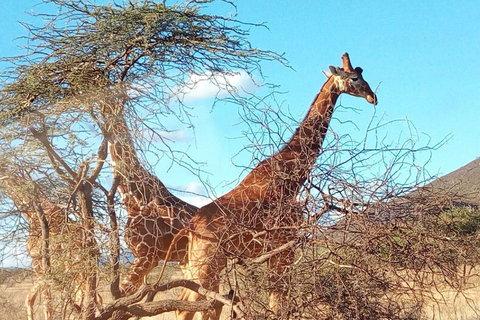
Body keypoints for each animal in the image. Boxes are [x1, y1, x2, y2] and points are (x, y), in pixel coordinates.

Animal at [0, 169, 100, 318]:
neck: (32, 212)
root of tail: (96, 248)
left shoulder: (37, 260)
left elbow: (47, 302)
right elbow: (30, 299)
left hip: (77, 269)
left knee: (86, 298)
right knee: (90, 298)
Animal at [169, 53, 378, 320]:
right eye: (355, 78)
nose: (373, 97)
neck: (291, 179)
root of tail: (188, 230)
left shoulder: (275, 252)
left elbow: (275, 301)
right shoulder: (284, 247)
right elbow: (279, 303)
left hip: (196, 266)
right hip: (206, 265)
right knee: (186, 306)